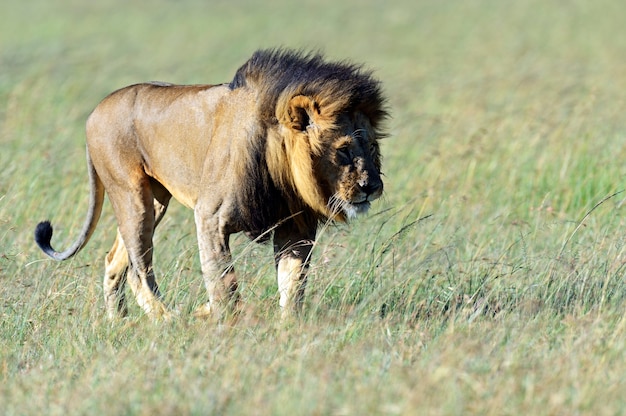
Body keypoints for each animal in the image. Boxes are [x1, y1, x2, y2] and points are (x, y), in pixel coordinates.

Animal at [35, 49, 386, 322]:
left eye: (370, 148)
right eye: (343, 151)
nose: (372, 186)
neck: (282, 170)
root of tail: (96, 110)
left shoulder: (296, 226)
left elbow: (293, 283)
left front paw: (289, 326)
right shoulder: (210, 217)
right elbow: (223, 282)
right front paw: (220, 319)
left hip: (155, 200)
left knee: (115, 260)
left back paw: (117, 321)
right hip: (131, 194)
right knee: (138, 267)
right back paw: (170, 319)